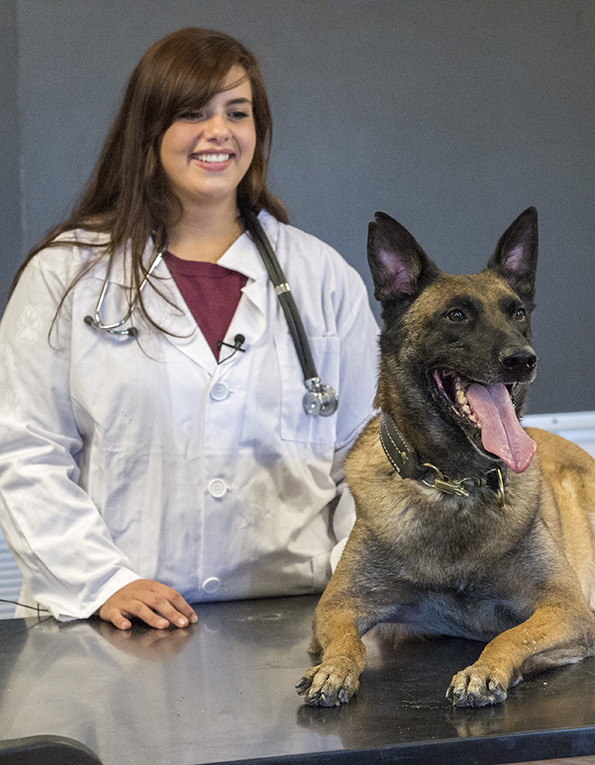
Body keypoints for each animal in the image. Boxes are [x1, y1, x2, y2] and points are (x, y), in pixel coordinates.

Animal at [298, 206, 595, 708]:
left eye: (517, 313)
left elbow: (512, 635)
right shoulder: (338, 605)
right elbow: (348, 642)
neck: (454, 484)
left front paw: (484, 671)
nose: (523, 359)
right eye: (456, 315)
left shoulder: (568, 608)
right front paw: (333, 671)